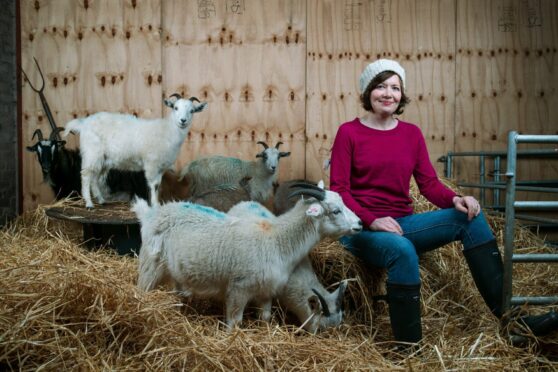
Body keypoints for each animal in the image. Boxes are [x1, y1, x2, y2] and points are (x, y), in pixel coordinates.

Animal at [63, 94, 208, 208]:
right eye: (175, 108)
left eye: (192, 110)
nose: (183, 120)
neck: (167, 131)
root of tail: (83, 124)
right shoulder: (151, 163)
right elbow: (154, 185)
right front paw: (155, 205)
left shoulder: (160, 167)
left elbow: (158, 185)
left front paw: (155, 203)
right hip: (92, 152)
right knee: (86, 175)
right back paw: (89, 203)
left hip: (102, 158)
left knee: (95, 177)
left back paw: (101, 199)